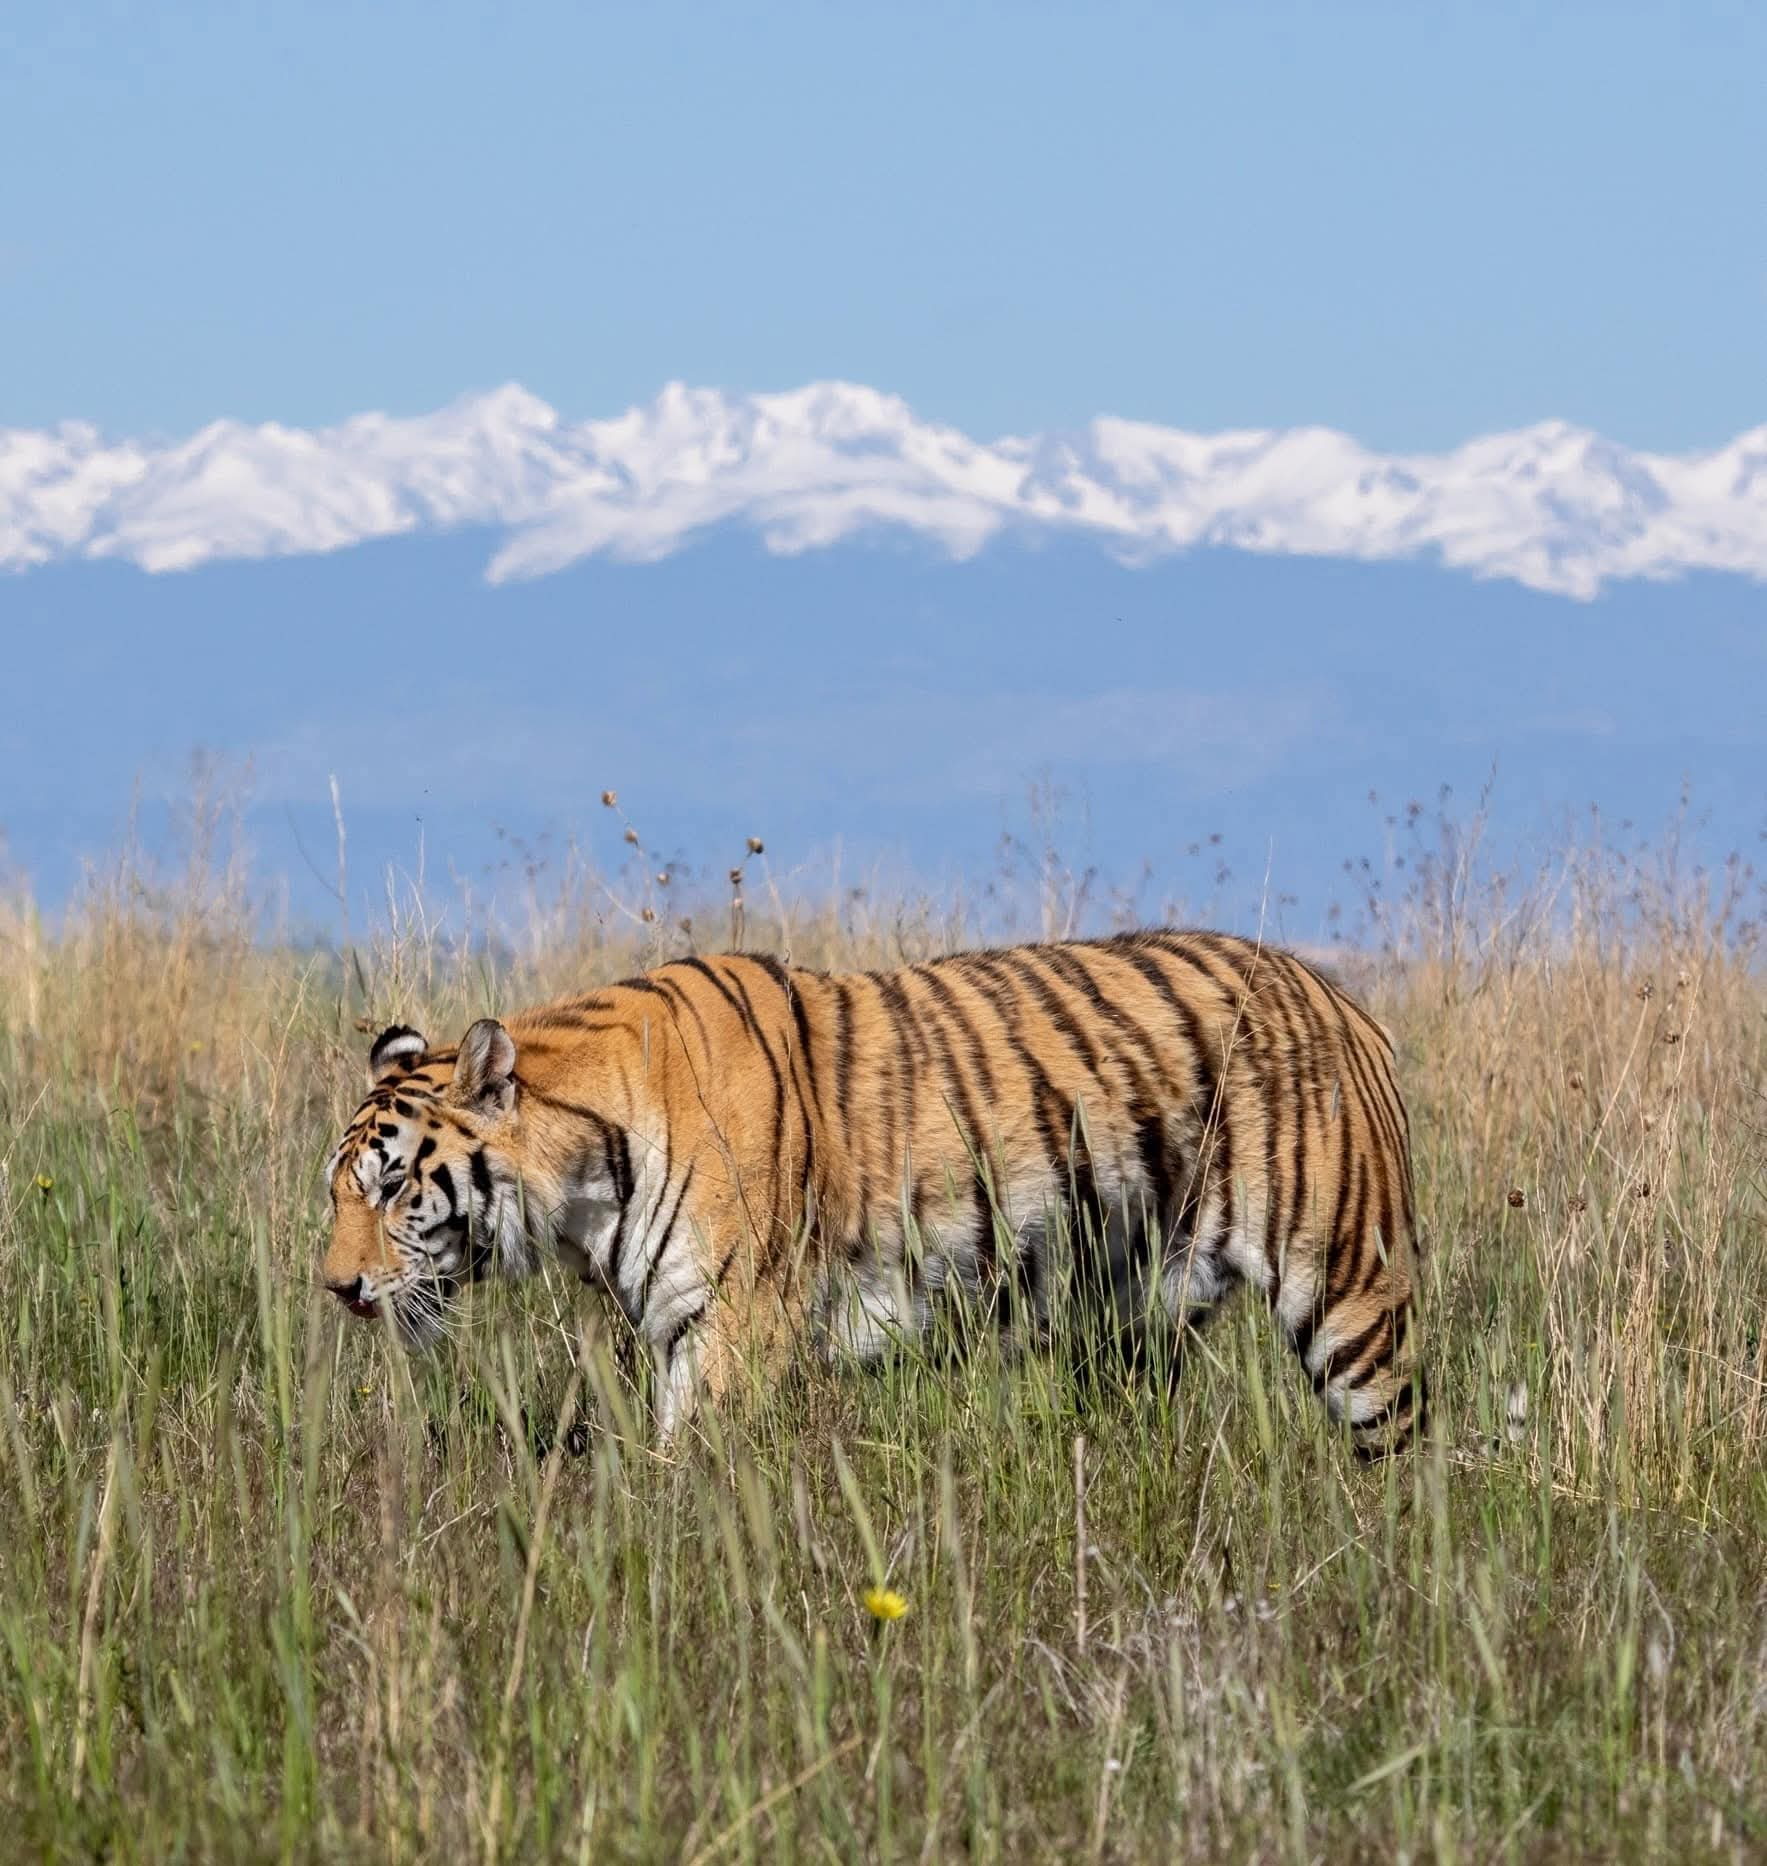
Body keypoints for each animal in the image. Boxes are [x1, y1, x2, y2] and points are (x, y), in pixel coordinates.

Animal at [320, 930, 1426, 1457]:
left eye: (392, 1187)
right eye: (336, 1196)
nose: (335, 1290)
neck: (581, 1185)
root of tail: (1342, 998)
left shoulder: (732, 1326)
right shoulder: (675, 1327)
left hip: (1349, 1295)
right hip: (1133, 1316)